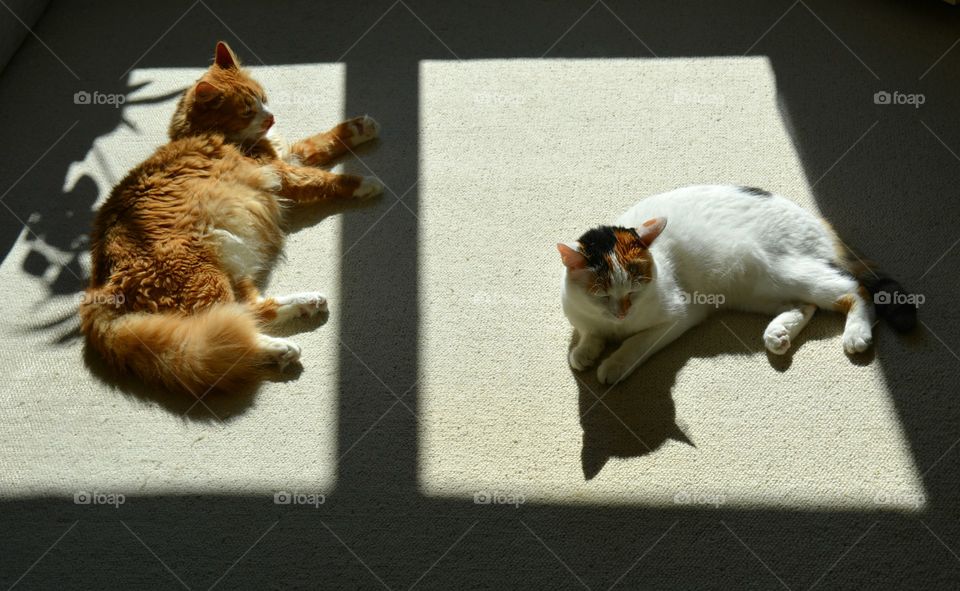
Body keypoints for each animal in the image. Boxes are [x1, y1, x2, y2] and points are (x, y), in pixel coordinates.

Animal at [80, 42, 382, 398]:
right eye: (247, 110)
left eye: (263, 98)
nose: (271, 117)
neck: (207, 133)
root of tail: (99, 290)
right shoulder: (282, 173)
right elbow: (326, 178)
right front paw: (366, 184)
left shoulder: (286, 156)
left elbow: (321, 141)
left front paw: (361, 128)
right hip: (204, 274)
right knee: (238, 322)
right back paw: (280, 348)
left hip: (230, 262)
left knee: (255, 308)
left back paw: (306, 304)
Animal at [556, 186, 916, 388]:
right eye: (602, 295)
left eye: (634, 289)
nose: (622, 313)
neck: (615, 326)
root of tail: (819, 221)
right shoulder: (584, 317)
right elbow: (590, 334)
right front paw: (584, 352)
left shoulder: (677, 317)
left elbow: (635, 344)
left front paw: (613, 364)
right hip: (758, 290)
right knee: (808, 304)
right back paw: (779, 333)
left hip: (781, 270)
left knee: (855, 289)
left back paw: (856, 334)